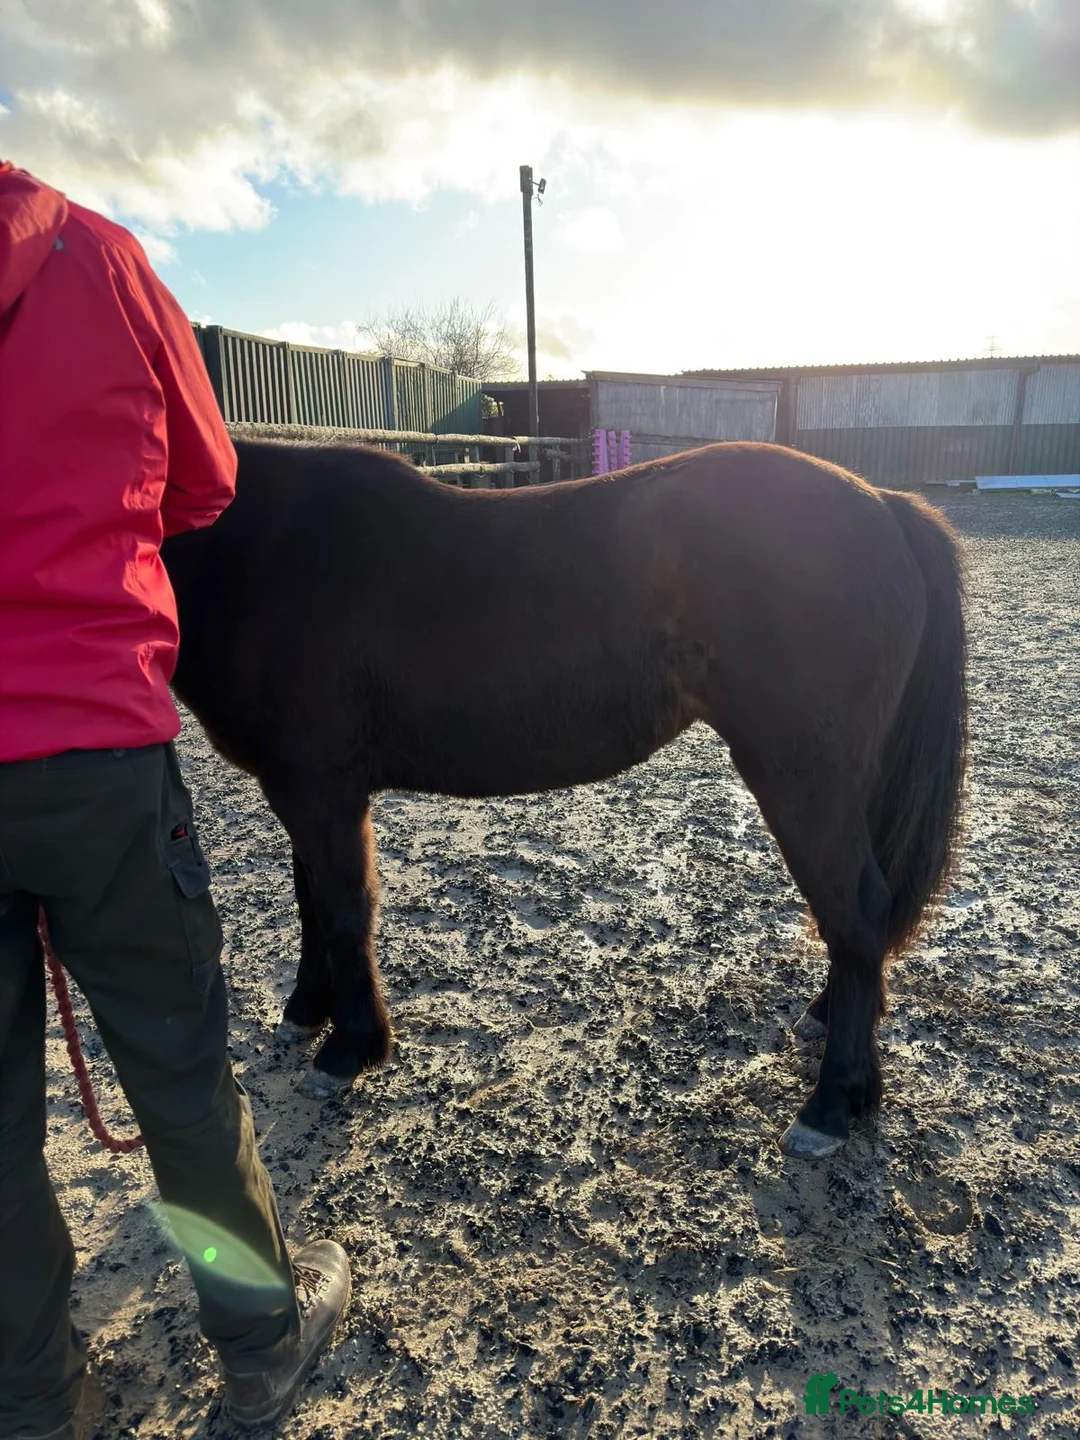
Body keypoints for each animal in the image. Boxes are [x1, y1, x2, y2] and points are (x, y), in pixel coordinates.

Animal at [162, 438, 967, 1160]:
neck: (267, 553)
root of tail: (882, 505)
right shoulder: (298, 788)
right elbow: (311, 905)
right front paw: (306, 1010)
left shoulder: (323, 790)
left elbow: (341, 911)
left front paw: (350, 1046)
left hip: (802, 779)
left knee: (856, 911)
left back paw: (832, 1104)